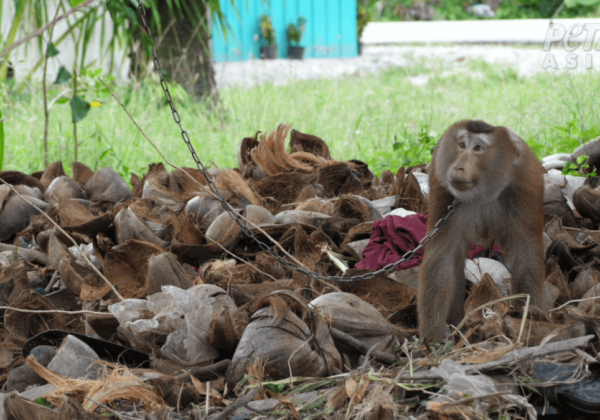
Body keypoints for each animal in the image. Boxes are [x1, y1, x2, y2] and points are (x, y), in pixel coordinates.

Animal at [420, 119, 548, 342]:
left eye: (478, 148)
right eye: (462, 145)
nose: (458, 166)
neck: (485, 192)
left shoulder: (525, 183)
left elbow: (526, 255)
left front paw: (529, 321)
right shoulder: (441, 185)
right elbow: (442, 258)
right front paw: (431, 341)